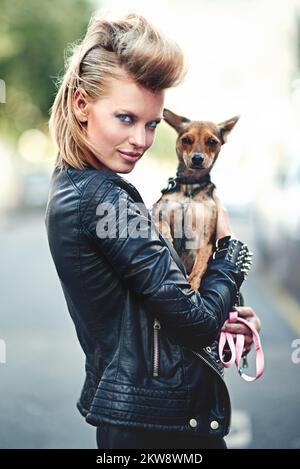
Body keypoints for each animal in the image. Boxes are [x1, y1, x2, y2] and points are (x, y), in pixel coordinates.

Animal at [152, 108, 239, 290]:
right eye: (186, 140)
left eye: (212, 142)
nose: (197, 158)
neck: (190, 187)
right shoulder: (158, 210)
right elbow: (163, 224)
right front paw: (168, 238)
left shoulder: (206, 239)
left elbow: (200, 266)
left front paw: (192, 286)